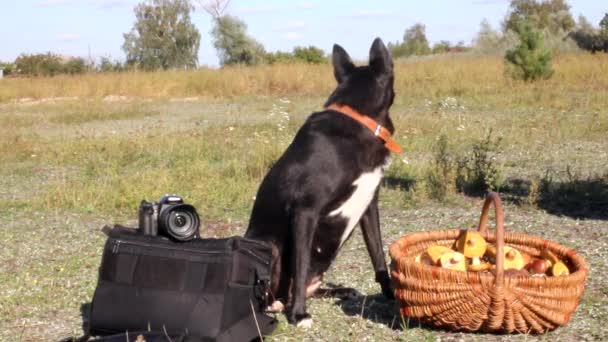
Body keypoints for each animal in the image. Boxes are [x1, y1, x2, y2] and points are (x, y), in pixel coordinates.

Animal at [245, 38, 402, 328]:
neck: (357, 117)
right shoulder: (305, 212)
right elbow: (300, 265)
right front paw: (298, 314)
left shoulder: (369, 207)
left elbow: (378, 255)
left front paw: (390, 293)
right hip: (268, 246)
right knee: (280, 288)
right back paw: (276, 304)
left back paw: (340, 290)